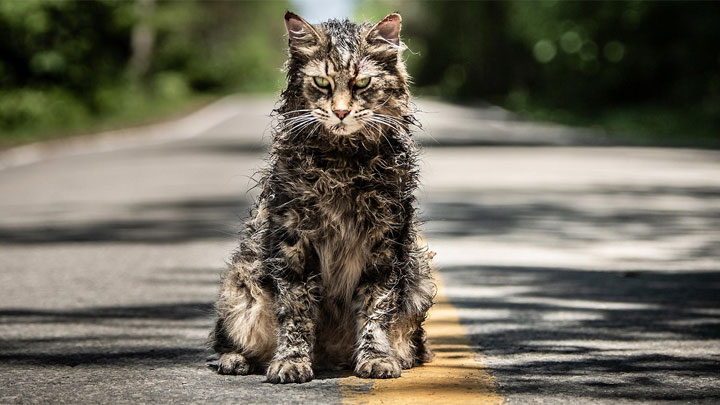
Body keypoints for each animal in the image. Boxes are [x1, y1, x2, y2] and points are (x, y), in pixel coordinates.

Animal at [208, 10, 434, 382]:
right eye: (322, 83)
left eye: (362, 84)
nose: (341, 112)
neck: (343, 163)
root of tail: (330, 357)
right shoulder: (294, 241)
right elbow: (296, 311)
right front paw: (292, 361)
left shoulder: (385, 242)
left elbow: (376, 307)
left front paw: (376, 357)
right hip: (240, 287)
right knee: (229, 340)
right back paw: (237, 360)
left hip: (419, 280)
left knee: (411, 343)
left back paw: (395, 357)